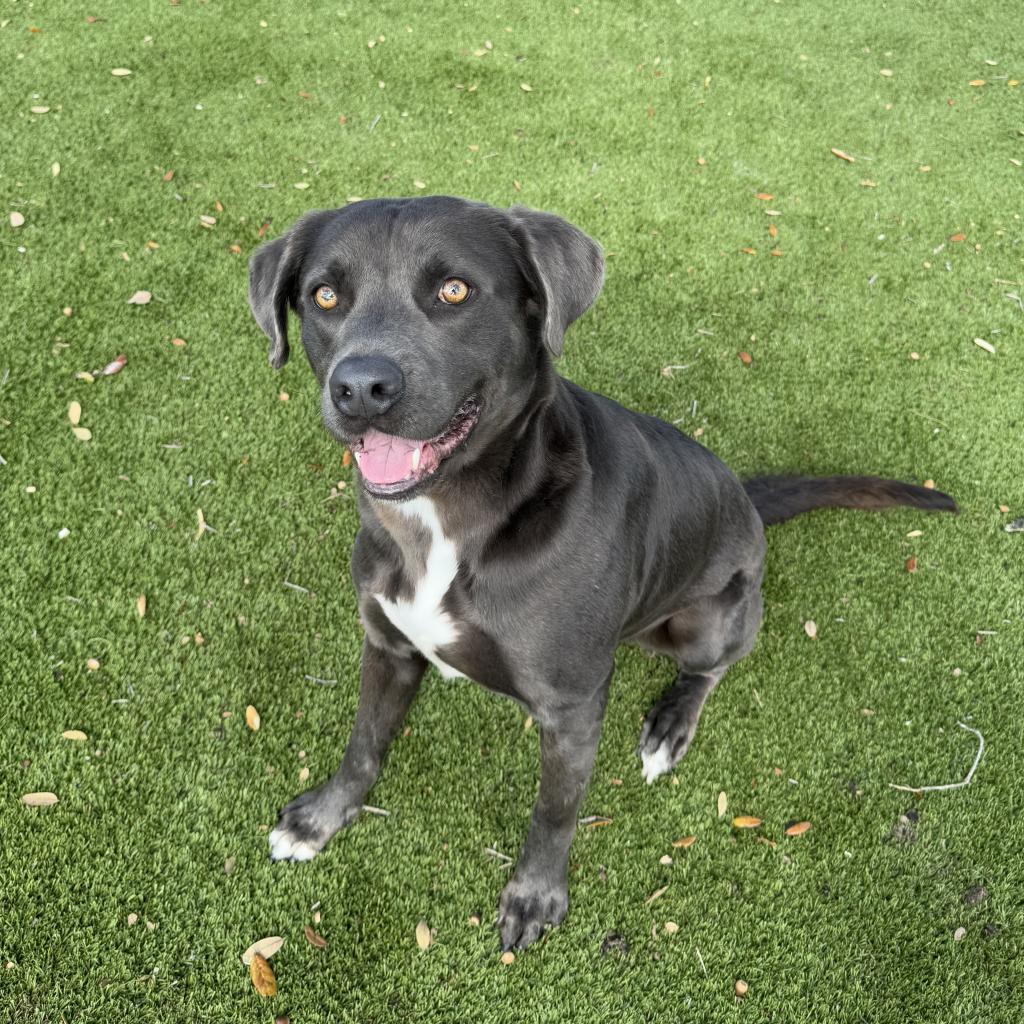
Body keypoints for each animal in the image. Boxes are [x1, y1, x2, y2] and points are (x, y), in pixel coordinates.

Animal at [247, 193, 958, 950]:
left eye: (454, 291)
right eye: (324, 295)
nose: (360, 387)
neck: (448, 520)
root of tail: (746, 497)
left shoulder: (572, 706)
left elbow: (554, 811)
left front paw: (535, 895)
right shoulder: (387, 644)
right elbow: (364, 744)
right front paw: (322, 818)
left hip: (709, 617)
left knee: (712, 667)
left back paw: (671, 726)